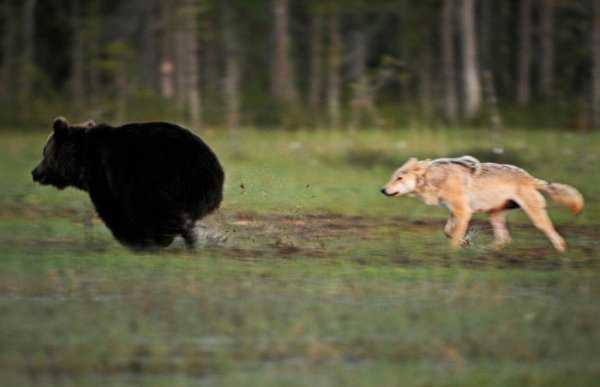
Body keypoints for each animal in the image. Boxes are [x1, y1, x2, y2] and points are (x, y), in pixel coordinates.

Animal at [382, 156, 584, 253]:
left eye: (399, 178)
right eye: (393, 177)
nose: (382, 190)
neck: (435, 179)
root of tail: (531, 178)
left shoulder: (463, 212)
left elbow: (453, 237)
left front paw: (452, 254)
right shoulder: (455, 212)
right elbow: (448, 231)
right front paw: (465, 243)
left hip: (535, 218)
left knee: (556, 237)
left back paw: (561, 256)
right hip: (494, 216)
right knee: (504, 240)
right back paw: (486, 252)